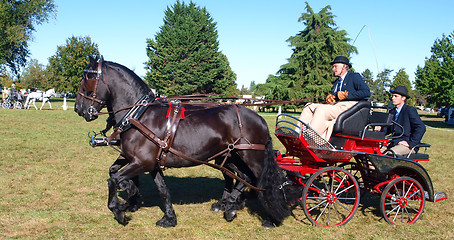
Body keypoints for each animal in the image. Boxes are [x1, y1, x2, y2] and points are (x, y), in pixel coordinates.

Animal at [74, 57, 294, 228]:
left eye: (87, 79)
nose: (78, 109)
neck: (139, 115)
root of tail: (259, 118)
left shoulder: (142, 162)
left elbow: (113, 179)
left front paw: (119, 210)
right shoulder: (149, 163)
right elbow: (160, 189)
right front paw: (167, 217)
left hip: (252, 157)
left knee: (263, 182)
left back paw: (269, 217)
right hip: (230, 156)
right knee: (242, 177)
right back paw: (229, 205)